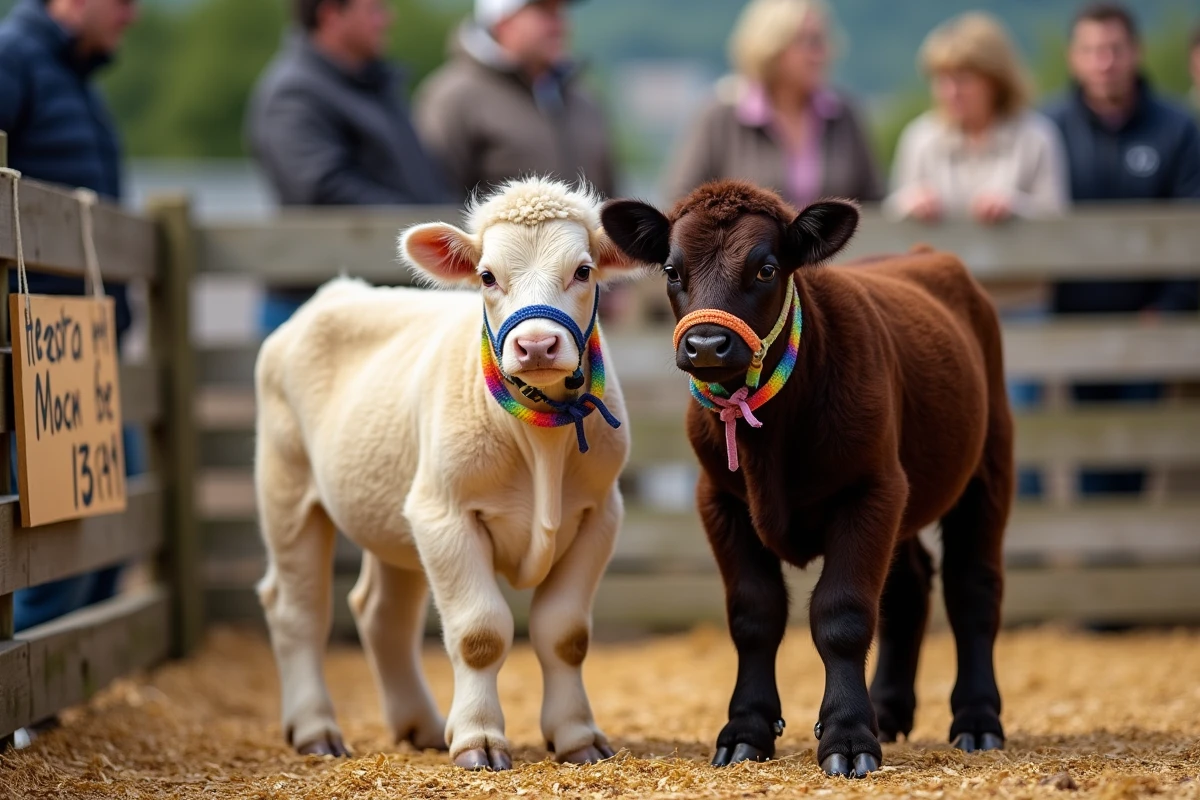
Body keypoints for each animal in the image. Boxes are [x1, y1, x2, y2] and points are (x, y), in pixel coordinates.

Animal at [253, 177, 644, 770]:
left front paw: (578, 737)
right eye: (486, 276)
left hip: (394, 513)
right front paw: (479, 740)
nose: (535, 345)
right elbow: (480, 633)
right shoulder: (445, 513)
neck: (543, 441)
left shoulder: (599, 513)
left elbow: (566, 633)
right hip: (288, 486)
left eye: (583, 270)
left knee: (380, 613)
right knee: (297, 609)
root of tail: (337, 291)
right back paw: (316, 730)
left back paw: (421, 725)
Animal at [600, 180, 1013, 777]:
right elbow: (754, 613)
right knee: (909, 586)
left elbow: (842, 614)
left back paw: (978, 721)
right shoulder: (720, 500)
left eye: (767, 268)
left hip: (987, 465)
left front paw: (848, 736)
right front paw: (745, 731)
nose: (705, 345)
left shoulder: (868, 489)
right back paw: (889, 711)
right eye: (673, 271)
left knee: (972, 587)